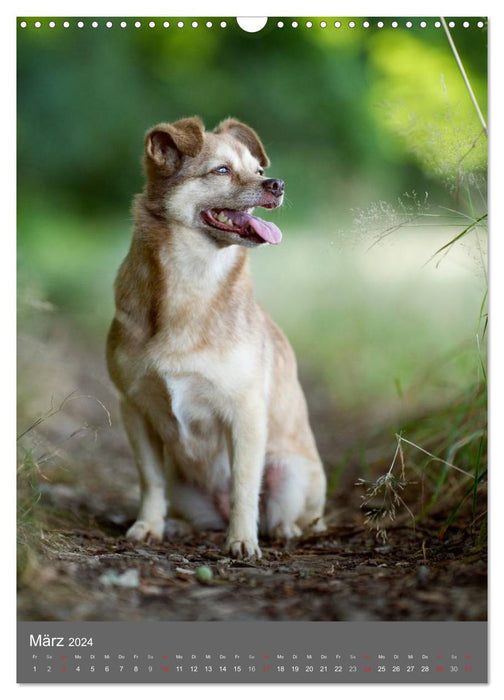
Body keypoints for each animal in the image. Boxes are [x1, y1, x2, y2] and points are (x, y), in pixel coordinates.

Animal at [106, 119, 326, 556]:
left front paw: (242, 540)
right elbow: (149, 480)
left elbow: (244, 486)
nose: (277, 184)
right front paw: (148, 526)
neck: (191, 282)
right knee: (194, 511)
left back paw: (281, 531)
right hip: (185, 486)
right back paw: (178, 526)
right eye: (222, 170)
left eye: (257, 170)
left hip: (290, 472)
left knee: (286, 516)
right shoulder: (134, 409)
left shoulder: (245, 414)